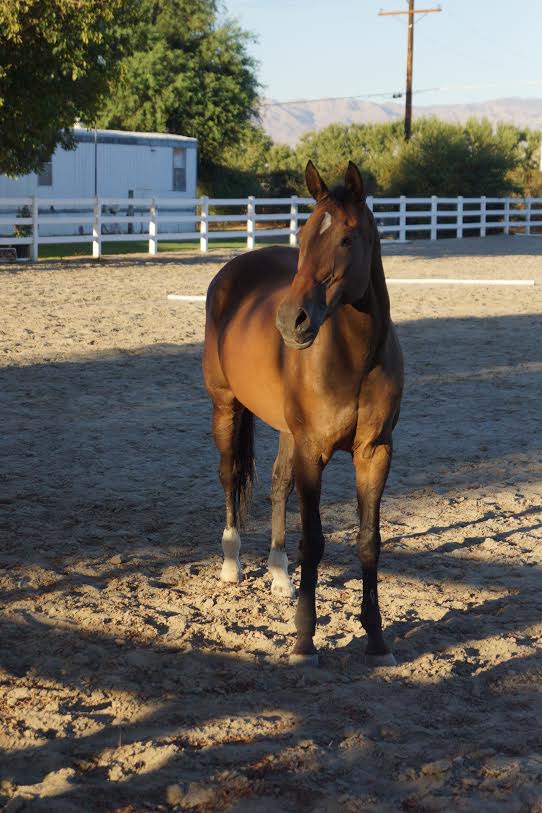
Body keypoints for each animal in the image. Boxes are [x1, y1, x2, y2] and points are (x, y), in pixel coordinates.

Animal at [203, 160, 404, 666]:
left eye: (348, 238)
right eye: (306, 233)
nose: (291, 320)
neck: (354, 358)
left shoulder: (374, 452)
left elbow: (368, 541)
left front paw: (376, 639)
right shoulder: (314, 451)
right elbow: (313, 541)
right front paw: (304, 640)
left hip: (286, 429)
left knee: (278, 484)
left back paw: (278, 574)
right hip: (225, 405)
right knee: (229, 475)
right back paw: (232, 563)